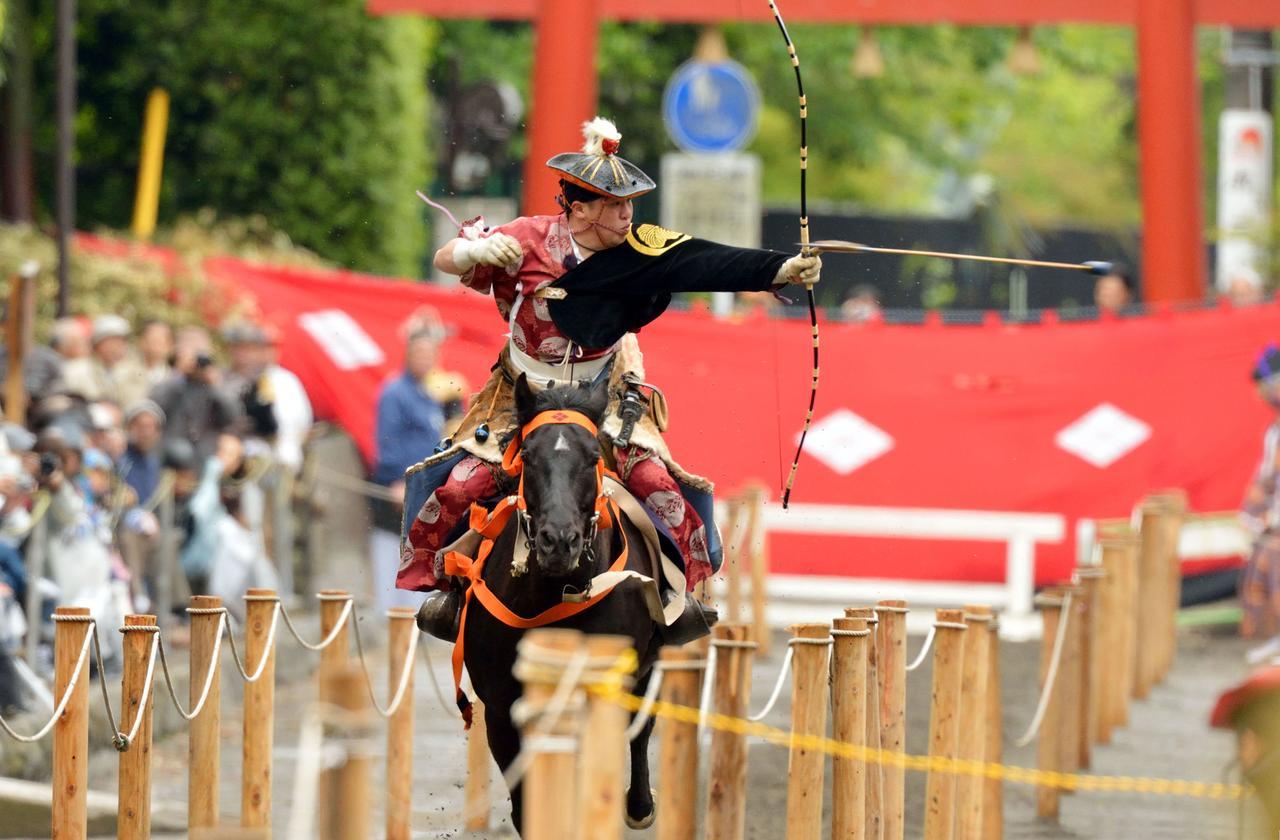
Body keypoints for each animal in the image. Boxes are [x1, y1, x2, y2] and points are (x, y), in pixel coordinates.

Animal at [468, 376, 670, 834]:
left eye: (593, 455)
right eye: (527, 455)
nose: (558, 541)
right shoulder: (501, 709)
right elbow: (527, 803)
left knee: (641, 729)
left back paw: (640, 807)